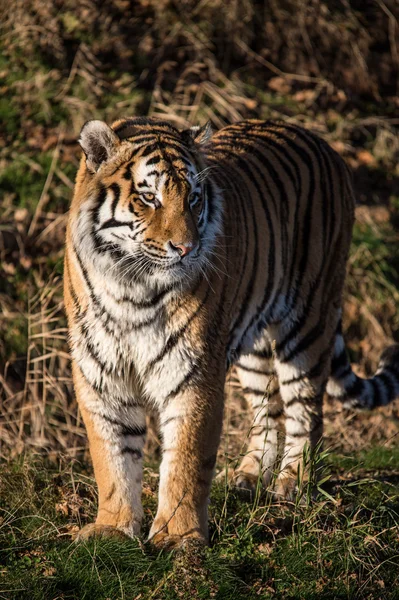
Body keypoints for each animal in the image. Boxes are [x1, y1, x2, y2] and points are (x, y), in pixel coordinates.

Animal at [63, 116, 399, 548]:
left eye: (194, 198)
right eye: (149, 197)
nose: (186, 248)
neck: (130, 286)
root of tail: (320, 141)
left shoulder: (192, 372)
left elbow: (186, 460)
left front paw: (177, 536)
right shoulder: (101, 373)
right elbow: (112, 459)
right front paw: (112, 528)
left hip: (308, 324)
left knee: (307, 412)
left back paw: (294, 483)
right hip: (254, 345)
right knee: (267, 411)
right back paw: (249, 476)